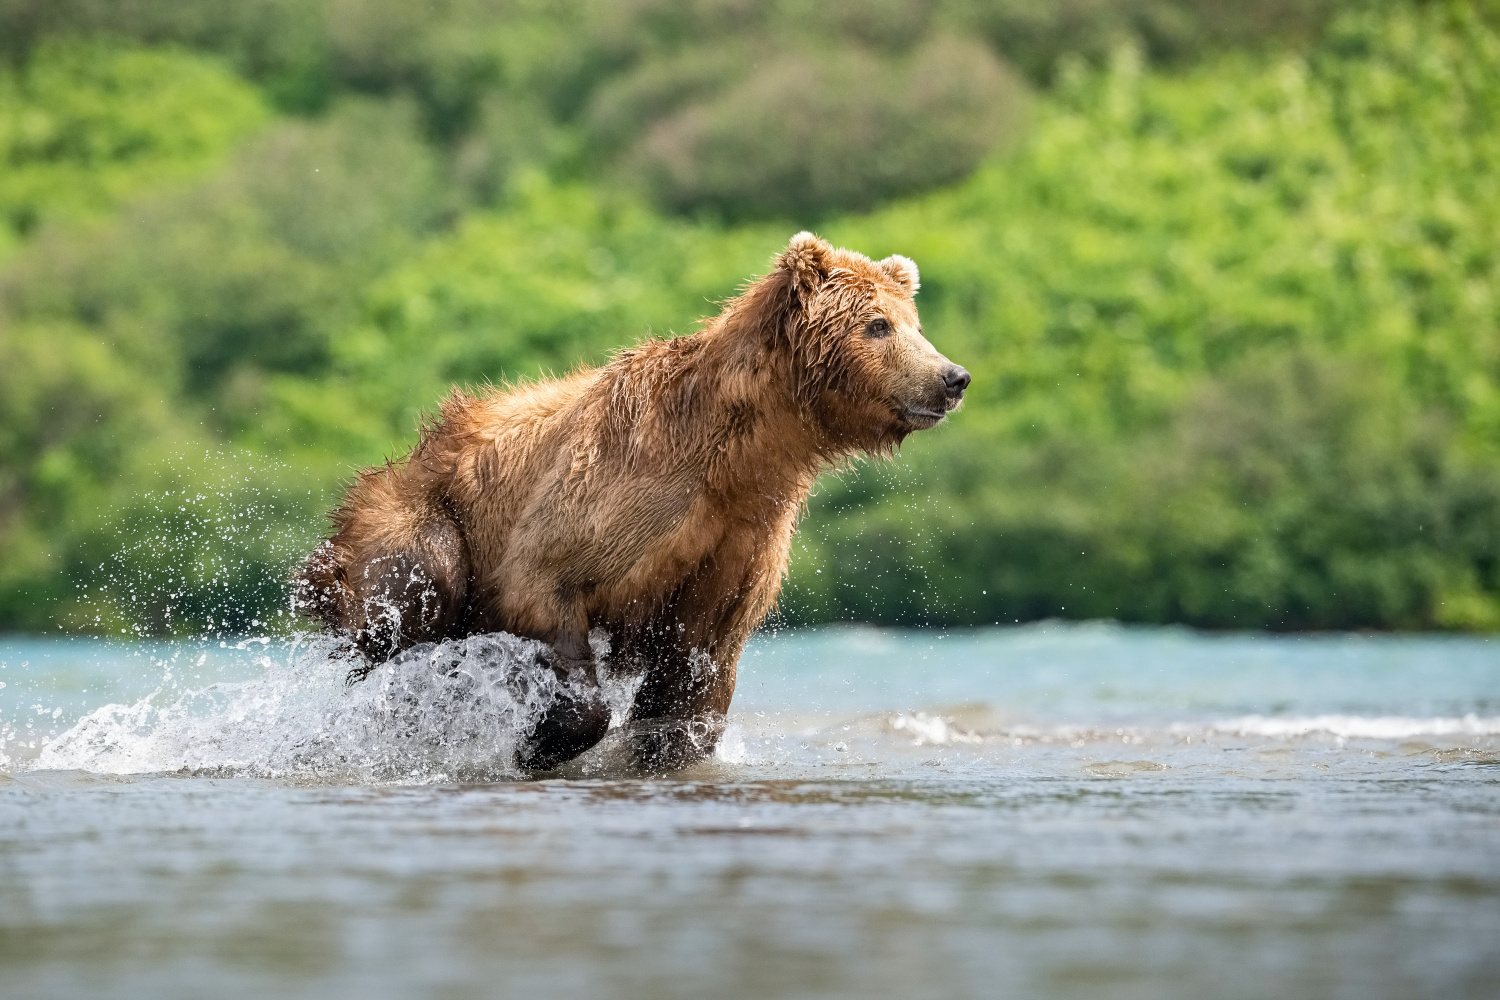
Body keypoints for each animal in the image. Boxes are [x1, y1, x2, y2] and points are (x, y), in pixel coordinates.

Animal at [292, 232, 972, 773]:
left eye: (915, 324)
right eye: (878, 325)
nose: (953, 377)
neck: (742, 454)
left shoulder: (740, 542)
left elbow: (697, 673)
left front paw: (653, 742)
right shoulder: (612, 498)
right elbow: (544, 586)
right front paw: (542, 738)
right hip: (415, 522)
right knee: (416, 603)